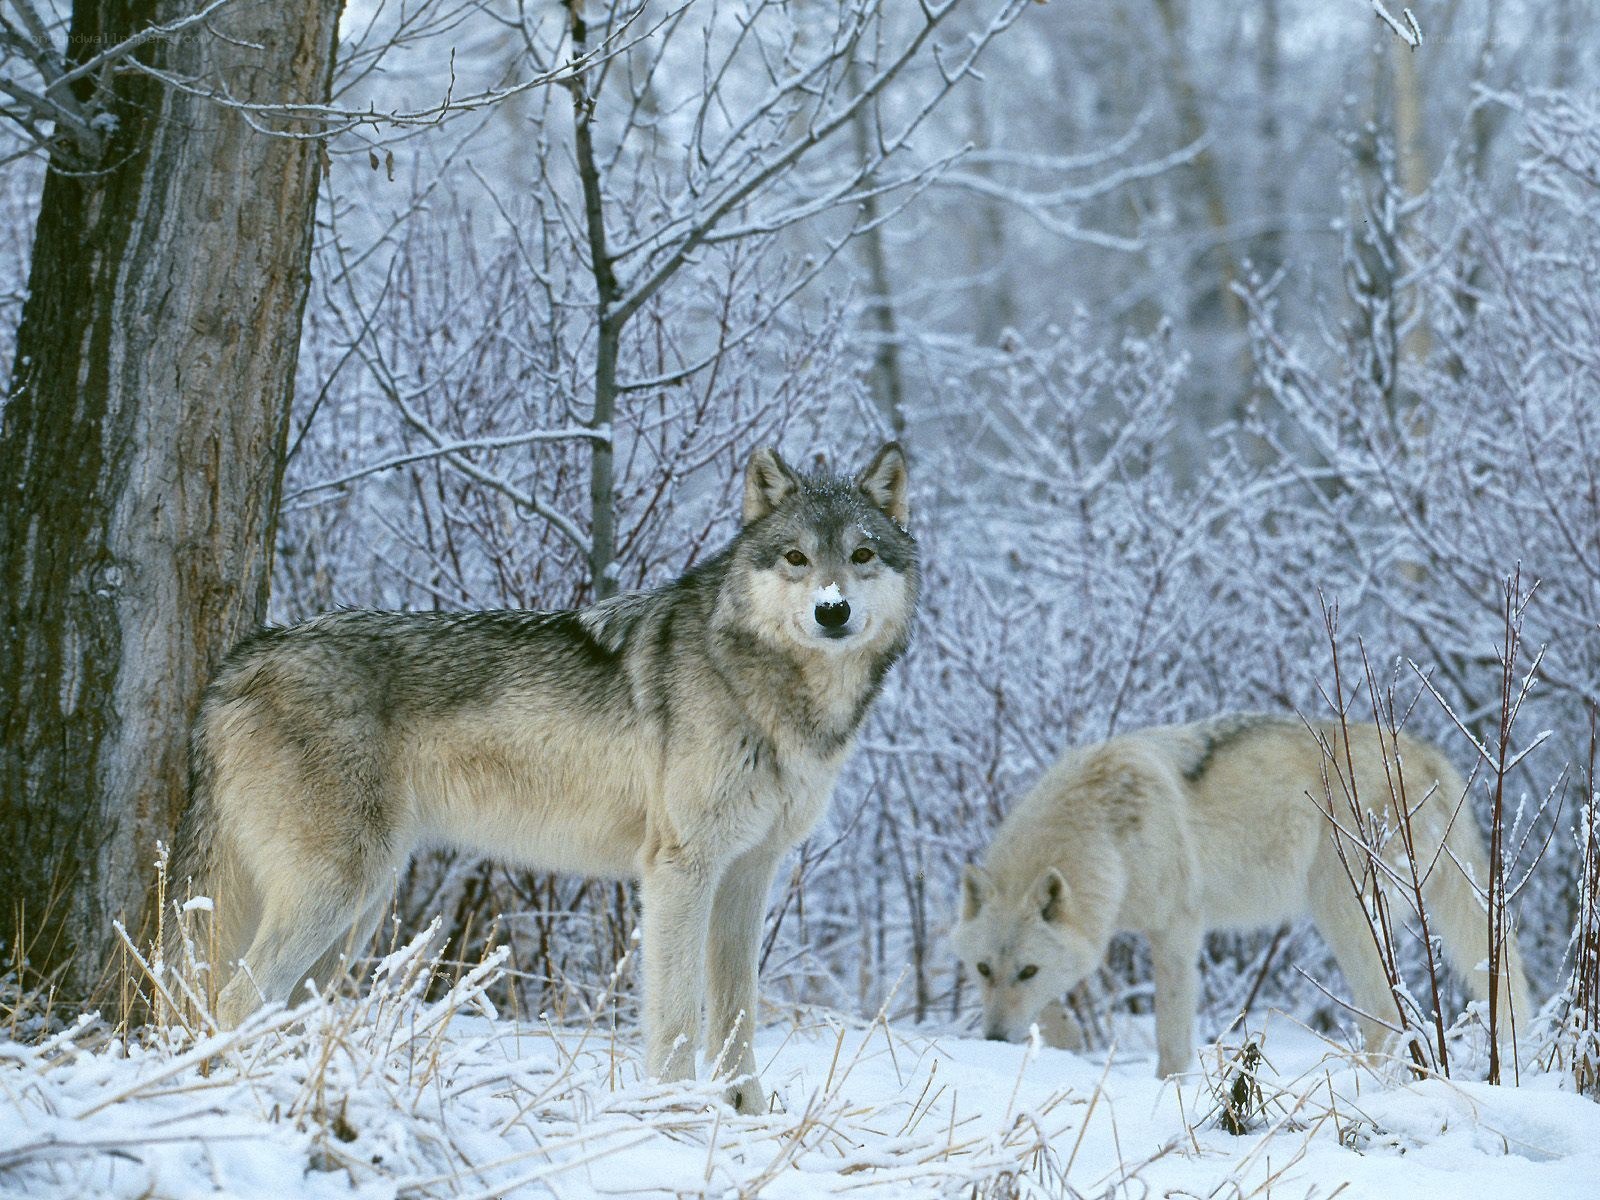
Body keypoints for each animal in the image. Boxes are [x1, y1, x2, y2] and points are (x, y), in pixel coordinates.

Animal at [170, 442, 917, 1113]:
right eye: (796, 558)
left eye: (861, 556)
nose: (831, 610)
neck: (771, 691)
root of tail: (237, 662)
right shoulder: (680, 869)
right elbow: (677, 1016)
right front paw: (673, 1116)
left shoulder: (748, 874)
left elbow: (737, 1017)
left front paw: (745, 1116)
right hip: (340, 892)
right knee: (236, 995)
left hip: (359, 911)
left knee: (281, 1006)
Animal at [951, 715, 1532, 1076]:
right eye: (982, 970)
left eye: (1026, 970)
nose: (994, 1039)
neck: (1105, 833)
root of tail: (1431, 756)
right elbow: (1057, 1009)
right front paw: (1066, 1041)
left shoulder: (1177, 931)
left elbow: (1171, 1038)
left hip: (1342, 914)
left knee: (1387, 1019)